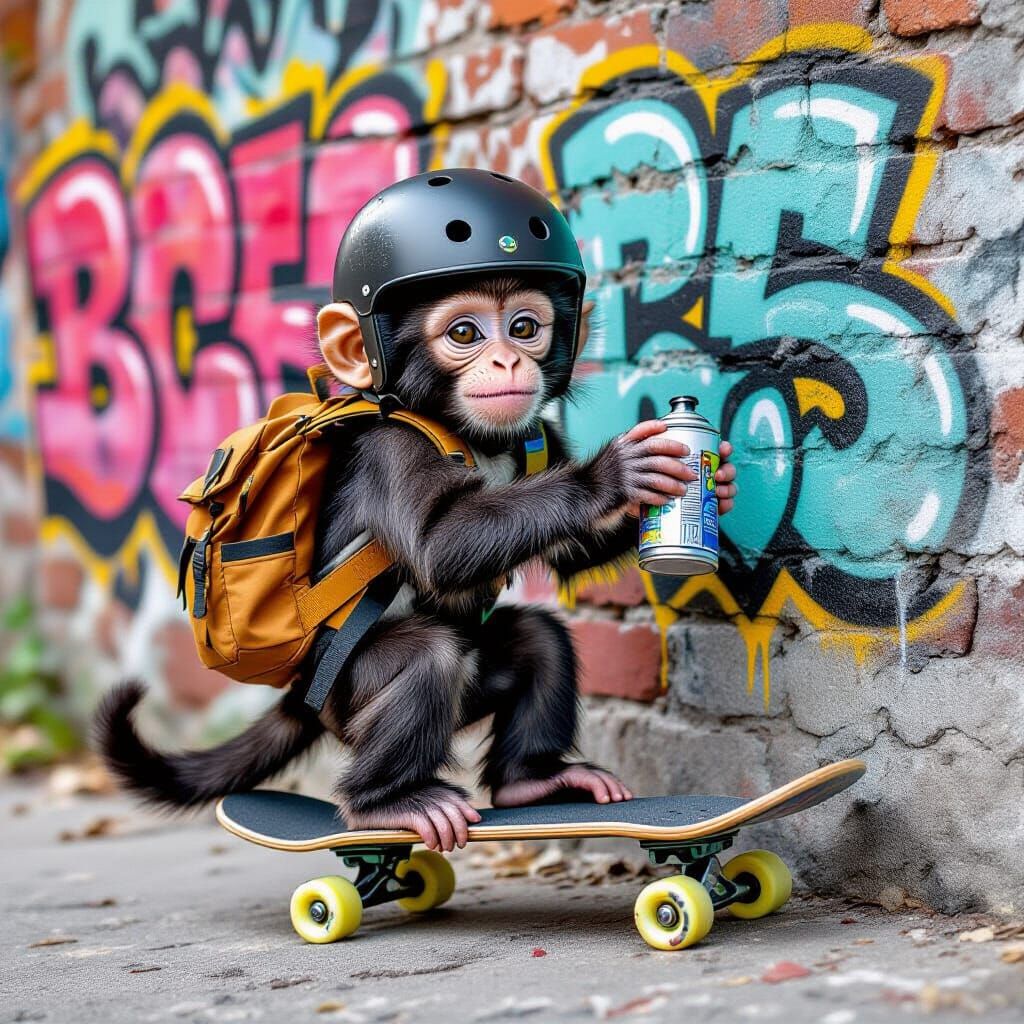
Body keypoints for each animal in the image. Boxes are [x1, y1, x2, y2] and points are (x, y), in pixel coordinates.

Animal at [95, 170, 738, 854]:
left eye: (524, 327)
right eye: (465, 334)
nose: (508, 360)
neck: (468, 435)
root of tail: (303, 698)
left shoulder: (539, 433)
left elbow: (570, 554)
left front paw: (712, 482)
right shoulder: (390, 451)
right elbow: (439, 544)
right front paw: (613, 473)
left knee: (538, 637)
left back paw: (531, 782)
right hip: (347, 697)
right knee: (429, 656)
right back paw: (387, 803)